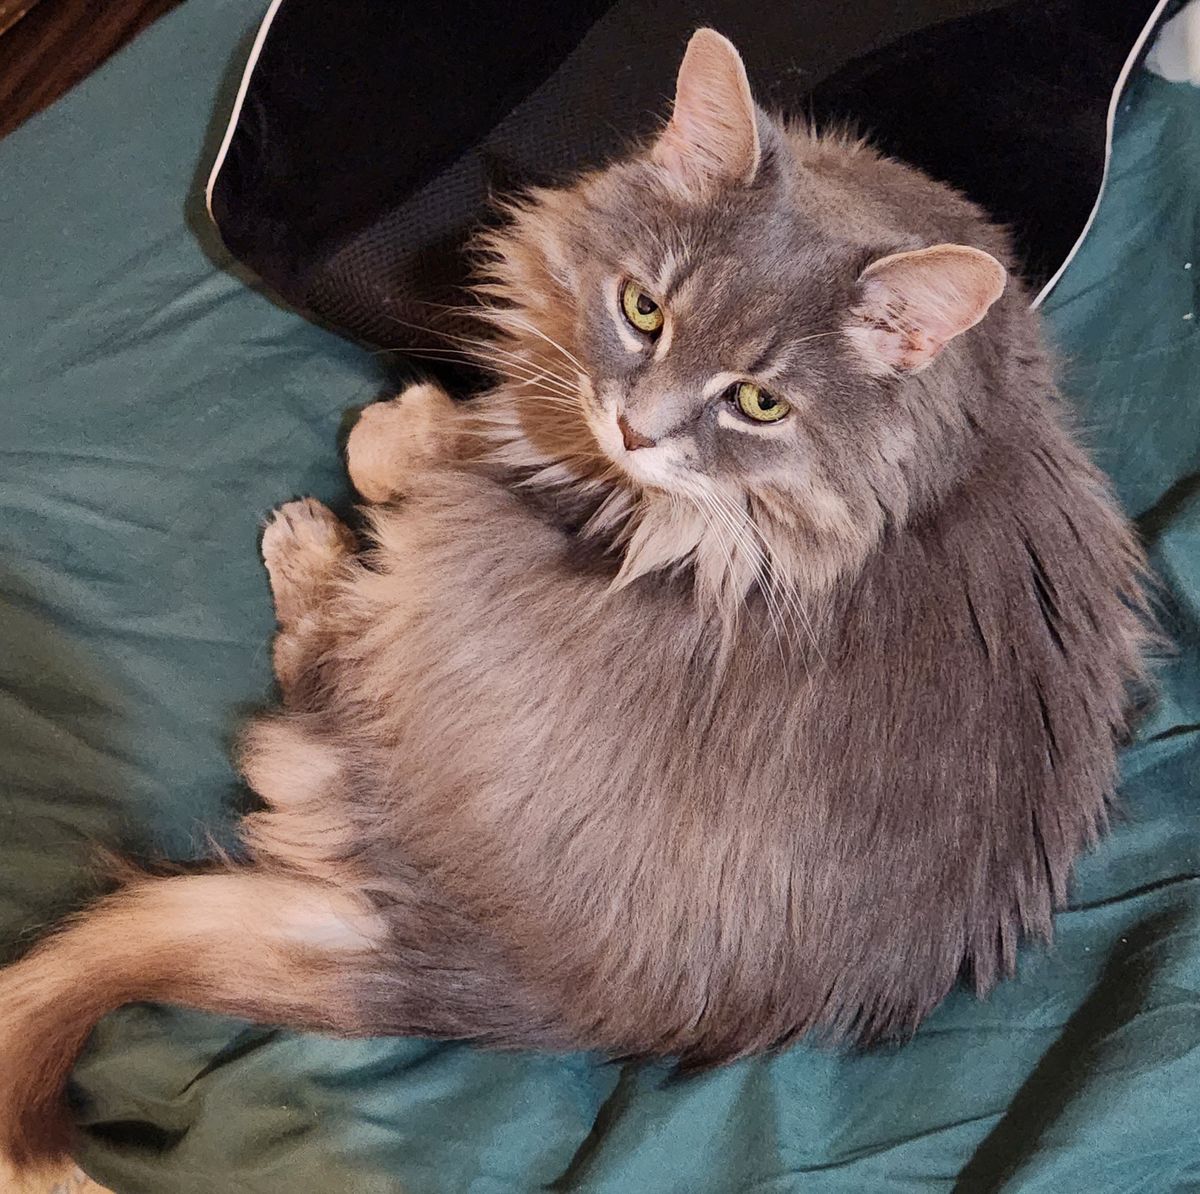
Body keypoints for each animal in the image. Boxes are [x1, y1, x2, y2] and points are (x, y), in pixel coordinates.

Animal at [0, 28, 1147, 1176]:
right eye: (644, 309)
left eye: (758, 402)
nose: (637, 429)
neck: (938, 437)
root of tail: (531, 988)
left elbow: (465, 440)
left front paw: (403, 429)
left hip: (455, 569)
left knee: (314, 668)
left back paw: (312, 530)